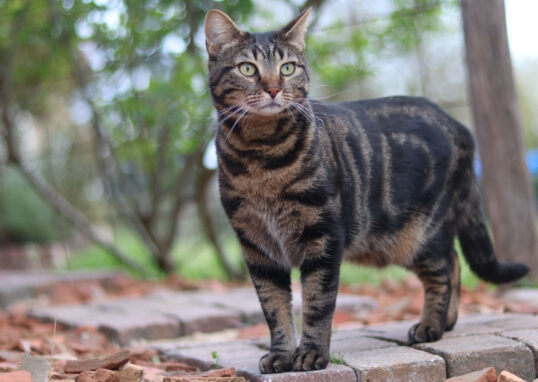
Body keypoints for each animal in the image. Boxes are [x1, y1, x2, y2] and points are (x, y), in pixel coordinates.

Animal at [202, 7, 528, 374]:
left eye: (287, 68)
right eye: (247, 68)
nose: (273, 88)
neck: (261, 157)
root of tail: (459, 126)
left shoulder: (323, 236)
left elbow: (317, 304)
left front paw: (311, 355)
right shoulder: (257, 248)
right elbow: (274, 308)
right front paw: (282, 355)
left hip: (418, 234)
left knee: (444, 269)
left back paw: (431, 325)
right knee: (455, 262)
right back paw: (447, 320)